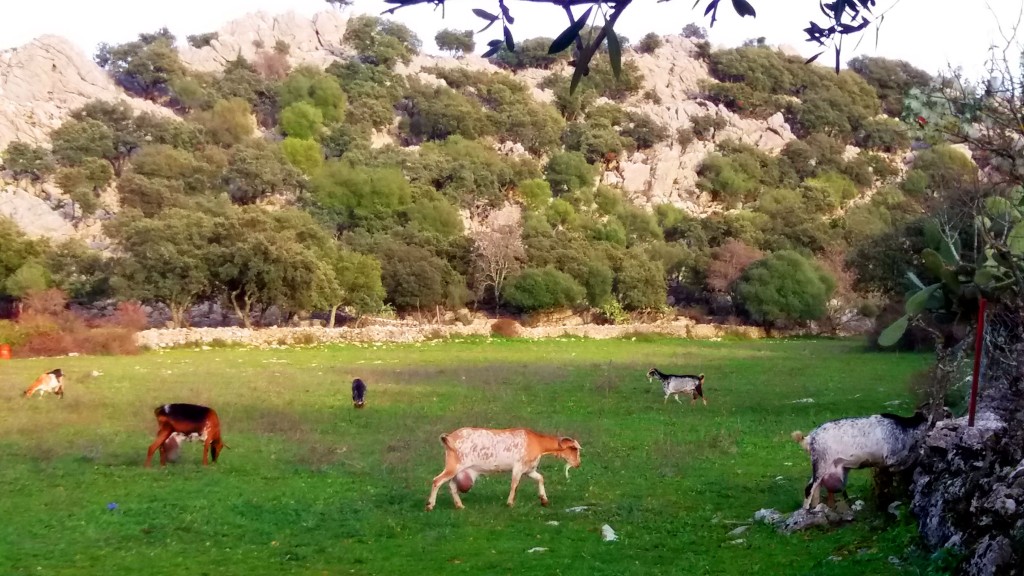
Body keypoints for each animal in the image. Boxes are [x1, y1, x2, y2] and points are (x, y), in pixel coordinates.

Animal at [425, 426, 585, 510]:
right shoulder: (518, 467)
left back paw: (460, 506)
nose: (578, 464)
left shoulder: (529, 470)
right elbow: (514, 484)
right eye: (575, 449)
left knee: (451, 485)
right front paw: (510, 503)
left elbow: (540, 478)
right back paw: (430, 505)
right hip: (454, 466)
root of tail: (450, 438)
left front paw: (544, 500)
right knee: (437, 481)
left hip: (458, 470)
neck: (538, 444)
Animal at [790, 405, 950, 508]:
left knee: (815, 487)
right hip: (821, 462)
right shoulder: (893, 458)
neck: (906, 429)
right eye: (946, 414)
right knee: (809, 488)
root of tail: (810, 438)